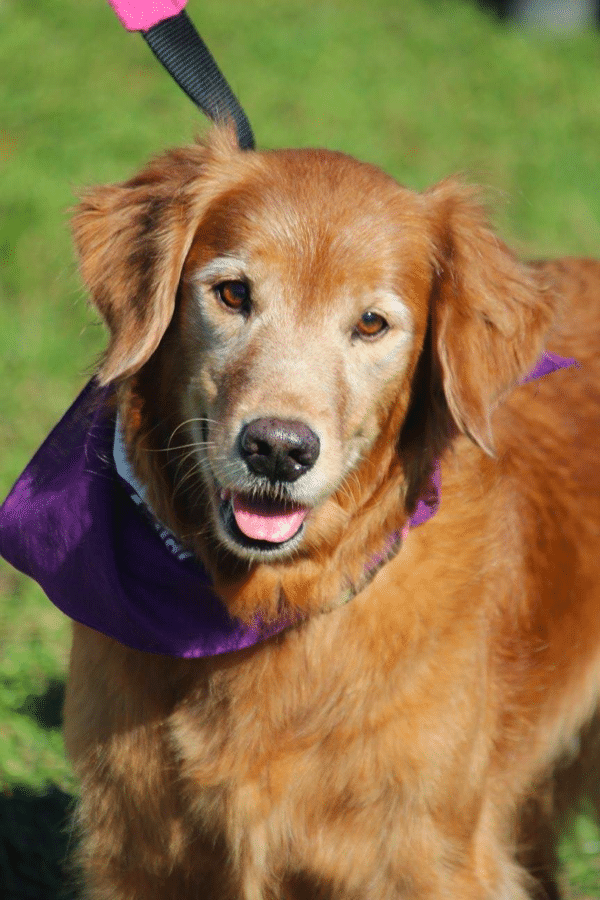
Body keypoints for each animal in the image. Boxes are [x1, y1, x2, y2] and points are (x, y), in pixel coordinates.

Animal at [61, 128, 600, 900]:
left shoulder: (428, 856)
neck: (272, 604)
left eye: (371, 323)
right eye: (233, 293)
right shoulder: (142, 848)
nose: (278, 450)